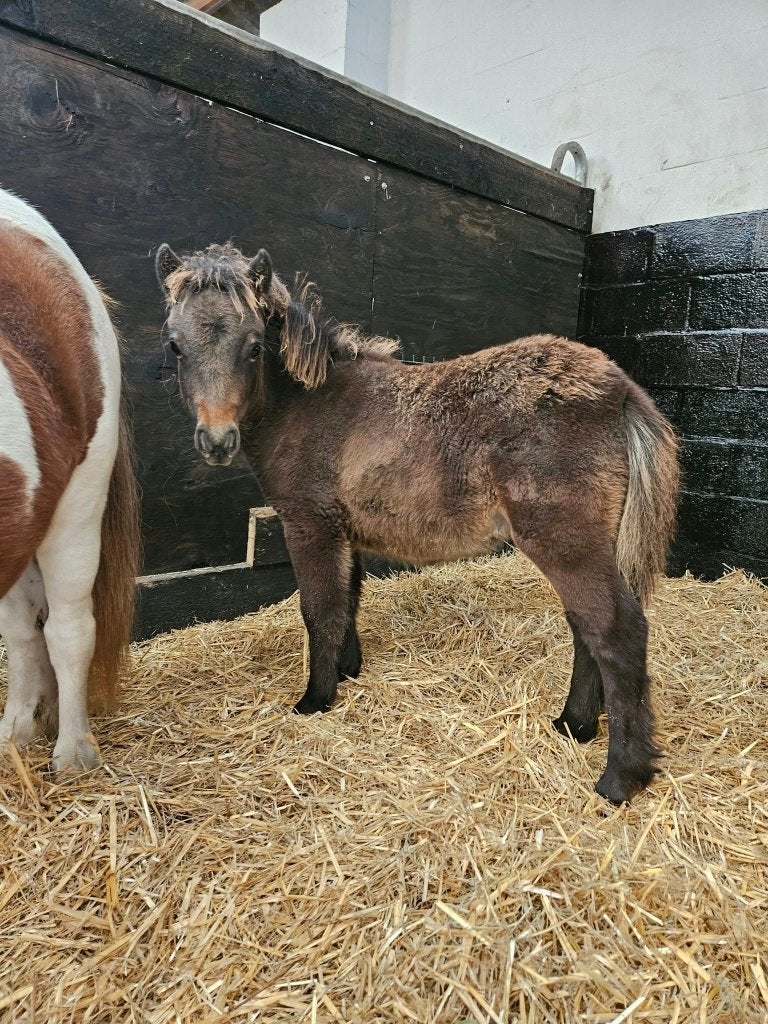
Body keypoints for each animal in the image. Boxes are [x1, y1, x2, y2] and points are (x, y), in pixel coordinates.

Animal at [154, 240, 679, 804]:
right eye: (175, 346)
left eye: (254, 347)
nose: (216, 442)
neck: (307, 405)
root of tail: (620, 388)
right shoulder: (344, 531)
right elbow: (349, 598)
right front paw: (348, 671)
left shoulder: (309, 524)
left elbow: (319, 610)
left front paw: (315, 698)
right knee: (586, 628)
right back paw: (574, 726)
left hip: (565, 541)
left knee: (616, 631)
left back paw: (620, 775)